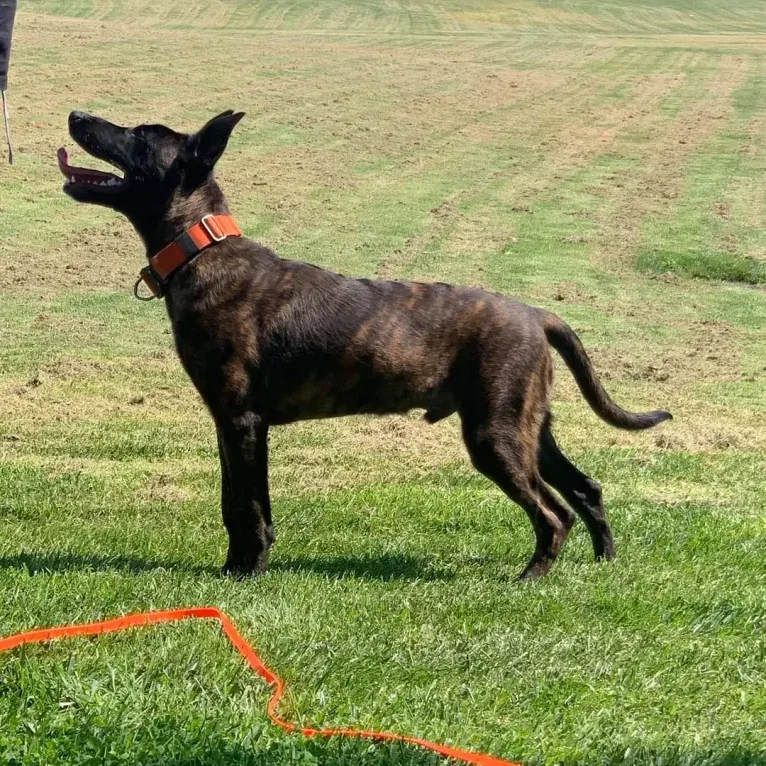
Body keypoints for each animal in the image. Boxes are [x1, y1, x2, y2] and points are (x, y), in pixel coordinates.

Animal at [58, 111, 672, 584]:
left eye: (139, 135)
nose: (77, 115)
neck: (201, 249)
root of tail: (537, 315)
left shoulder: (242, 421)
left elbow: (248, 507)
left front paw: (246, 574)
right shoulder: (230, 424)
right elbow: (237, 504)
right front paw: (234, 569)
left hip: (494, 437)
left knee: (553, 512)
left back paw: (529, 578)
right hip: (526, 428)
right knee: (586, 488)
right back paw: (605, 562)